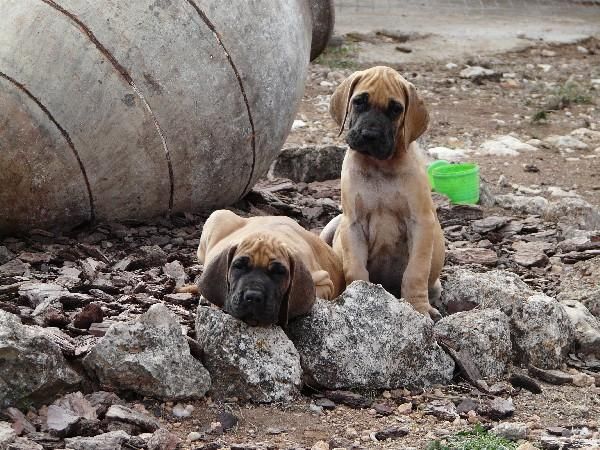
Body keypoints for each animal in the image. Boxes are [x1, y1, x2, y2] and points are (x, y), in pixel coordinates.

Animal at [324, 66, 446, 320]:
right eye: (359, 101)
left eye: (396, 109)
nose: (369, 135)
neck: (379, 165)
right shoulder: (352, 224)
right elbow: (356, 268)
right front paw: (360, 295)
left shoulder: (421, 223)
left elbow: (415, 272)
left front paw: (419, 308)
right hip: (333, 224)